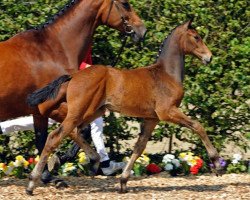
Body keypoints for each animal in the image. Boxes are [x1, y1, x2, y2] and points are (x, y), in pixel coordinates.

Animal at [0, 0, 146, 181]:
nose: (142, 30)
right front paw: (63, 162)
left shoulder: (39, 112)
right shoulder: (51, 107)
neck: (51, 50)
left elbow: (43, 138)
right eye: (125, 4)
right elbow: (77, 130)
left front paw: (48, 174)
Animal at [26, 19, 223, 195]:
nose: (209, 57)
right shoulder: (167, 112)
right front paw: (216, 163)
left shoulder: (151, 119)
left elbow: (139, 147)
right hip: (80, 111)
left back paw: (91, 161)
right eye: (196, 37)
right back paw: (32, 183)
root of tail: (73, 76)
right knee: (55, 136)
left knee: (73, 132)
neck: (165, 74)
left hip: (93, 111)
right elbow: (198, 126)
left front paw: (123, 182)